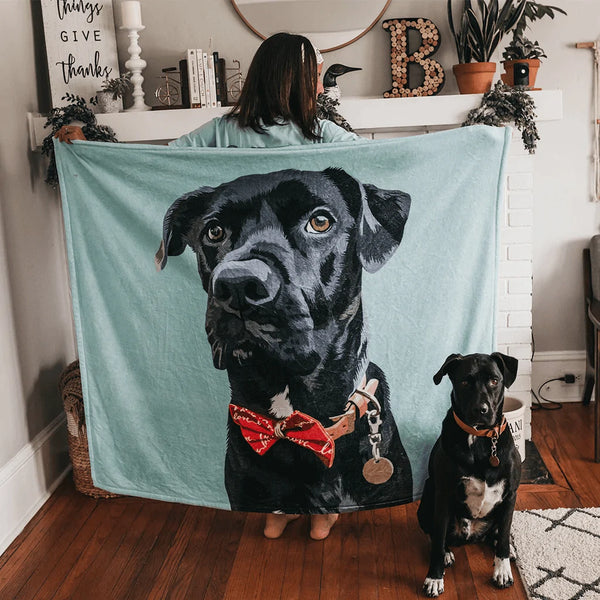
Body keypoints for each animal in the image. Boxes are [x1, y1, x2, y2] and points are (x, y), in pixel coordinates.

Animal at [418, 352, 520, 596]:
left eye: (494, 380)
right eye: (464, 382)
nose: (480, 410)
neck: (480, 438)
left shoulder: (510, 495)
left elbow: (504, 536)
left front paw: (502, 571)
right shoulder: (443, 495)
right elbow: (437, 541)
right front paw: (434, 578)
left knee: (499, 532)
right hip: (428, 493)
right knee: (435, 534)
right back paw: (447, 552)